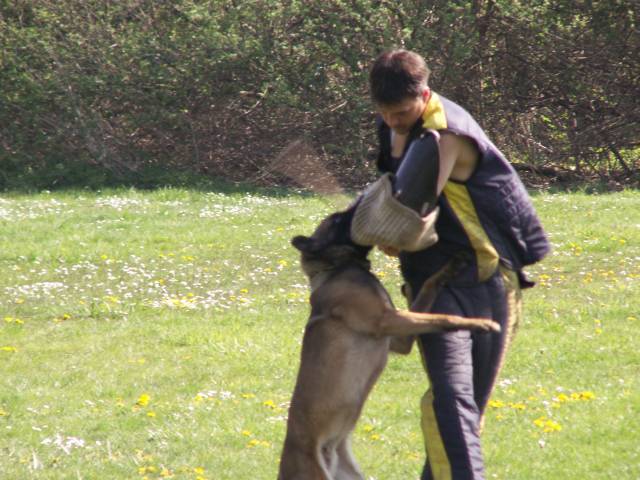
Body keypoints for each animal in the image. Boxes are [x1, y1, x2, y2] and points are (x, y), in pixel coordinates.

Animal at [278, 206, 500, 480]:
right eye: (338, 220)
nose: (357, 203)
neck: (336, 268)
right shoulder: (387, 320)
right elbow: (443, 317)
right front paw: (481, 323)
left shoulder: (400, 337)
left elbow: (429, 286)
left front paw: (449, 268)